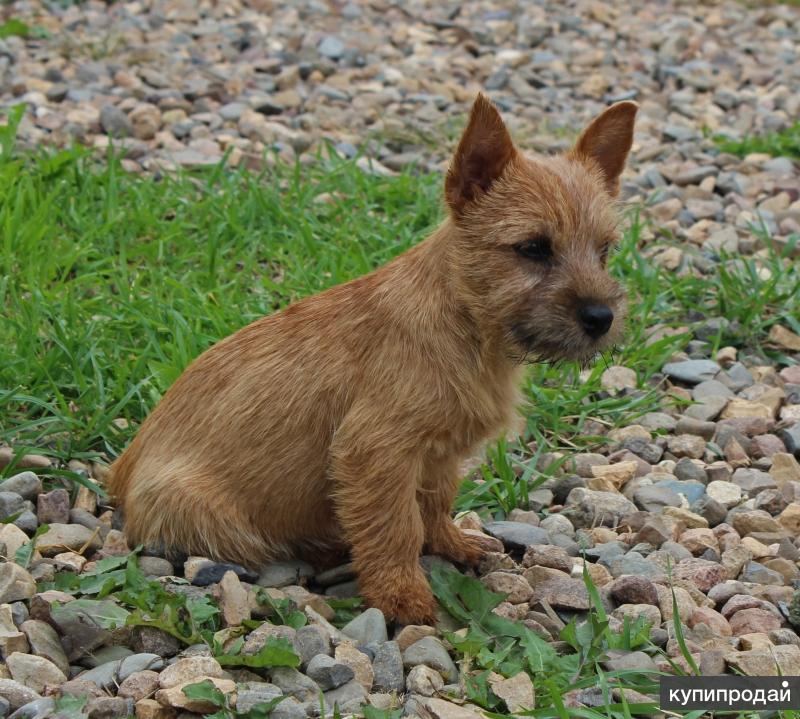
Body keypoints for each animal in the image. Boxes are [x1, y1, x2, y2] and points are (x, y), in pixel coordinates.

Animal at [111, 94, 636, 624]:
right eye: (532, 248)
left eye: (605, 250)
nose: (601, 317)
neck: (467, 327)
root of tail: (119, 472)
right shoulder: (376, 452)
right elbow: (395, 527)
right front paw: (402, 597)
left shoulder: (437, 454)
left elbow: (434, 504)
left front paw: (450, 544)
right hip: (207, 510)